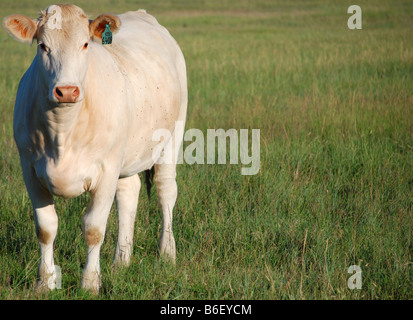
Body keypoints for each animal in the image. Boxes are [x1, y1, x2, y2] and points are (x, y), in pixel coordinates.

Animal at [2, 3, 187, 292]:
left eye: (85, 44)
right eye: (43, 46)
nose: (67, 91)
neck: (62, 133)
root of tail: (142, 13)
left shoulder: (106, 170)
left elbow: (93, 228)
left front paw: (90, 282)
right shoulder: (29, 170)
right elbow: (45, 227)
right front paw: (46, 282)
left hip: (172, 136)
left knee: (165, 191)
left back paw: (167, 254)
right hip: (126, 154)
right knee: (128, 194)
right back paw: (121, 260)